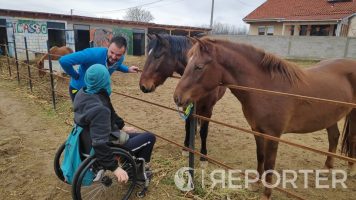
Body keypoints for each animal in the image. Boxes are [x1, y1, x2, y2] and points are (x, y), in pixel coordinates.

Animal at [139, 34, 225, 166]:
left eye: (157, 56)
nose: (143, 86)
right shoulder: (186, 106)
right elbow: (187, 126)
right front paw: (186, 148)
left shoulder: (208, 110)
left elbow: (204, 132)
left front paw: (203, 156)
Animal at [173, 37, 356, 198]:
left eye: (199, 66)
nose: (177, 97)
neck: (267, 88)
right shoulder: (257, 130)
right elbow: (260, 156)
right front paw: (256, 183)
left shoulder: (273, 136)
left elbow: (270, 164)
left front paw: (266, 194)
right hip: (330, 117)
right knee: (334, 137)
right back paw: (327, 169)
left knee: (352, 138)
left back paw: (351, 169)